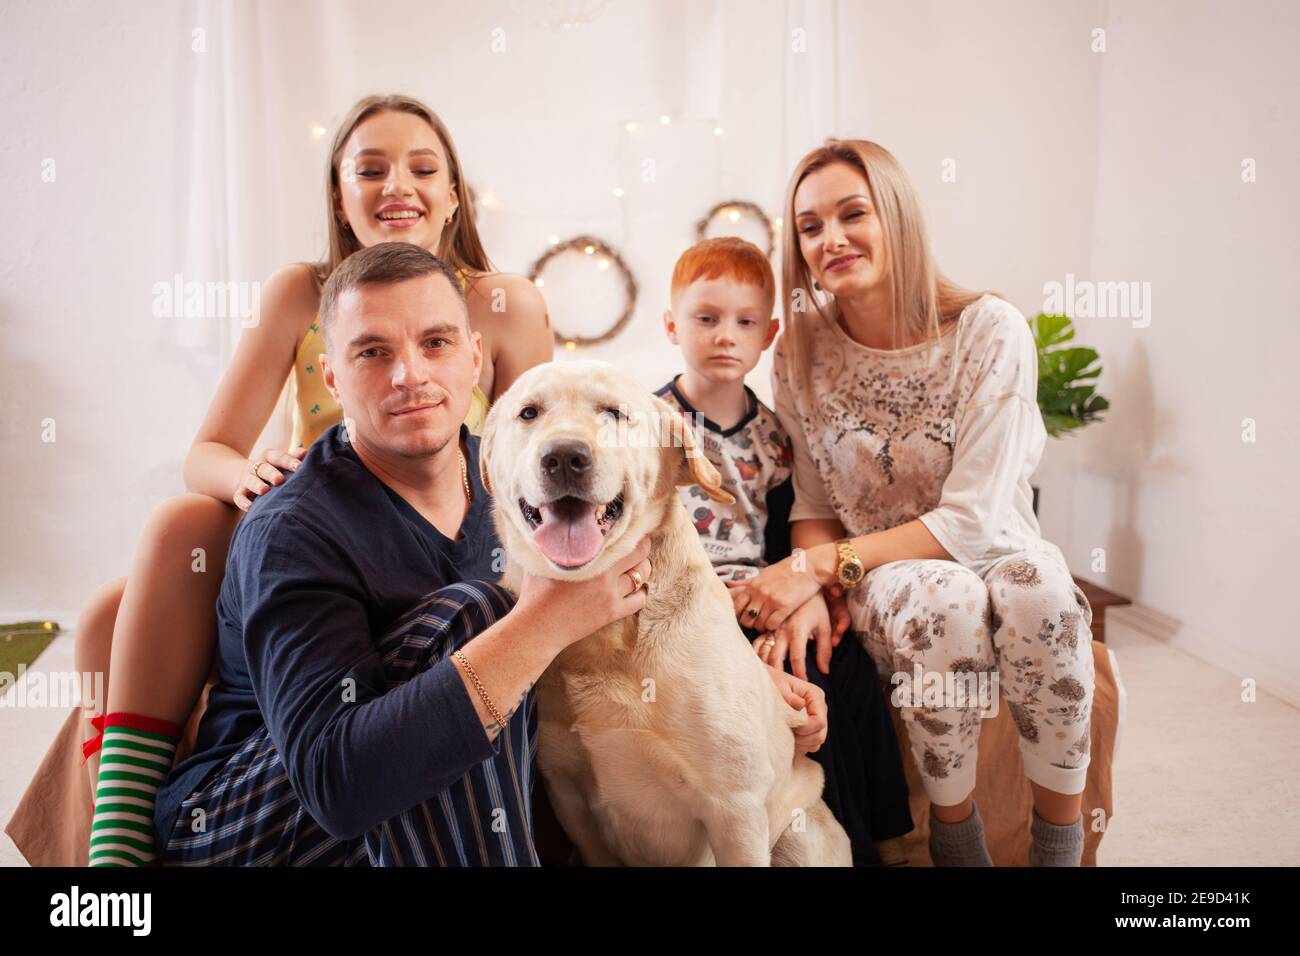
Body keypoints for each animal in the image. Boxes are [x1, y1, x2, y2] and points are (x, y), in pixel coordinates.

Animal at [478, 361, 852, 868]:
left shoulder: (734, 809)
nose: (564, 457)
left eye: (614, 413)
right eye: (529, 413)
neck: (607, 640)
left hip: (799, 835)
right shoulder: (569, 798)